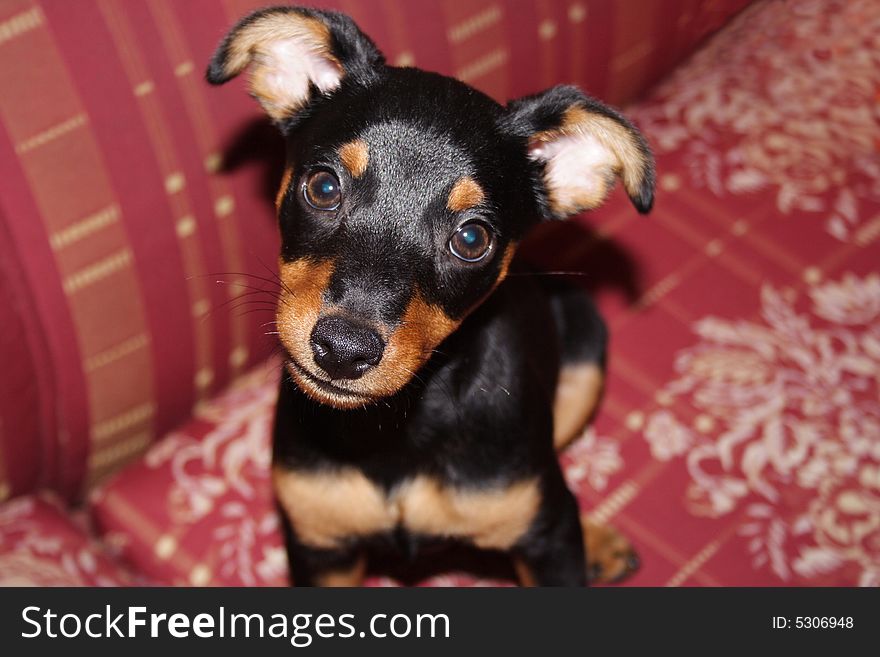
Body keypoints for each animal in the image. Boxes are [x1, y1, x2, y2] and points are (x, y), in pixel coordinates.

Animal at [208, 6, 652, 584]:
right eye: (324, 187)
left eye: (472, 239)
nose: (342, 351)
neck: (397, 431)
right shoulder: (321, 547)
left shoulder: (548, 541)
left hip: (584, 350)